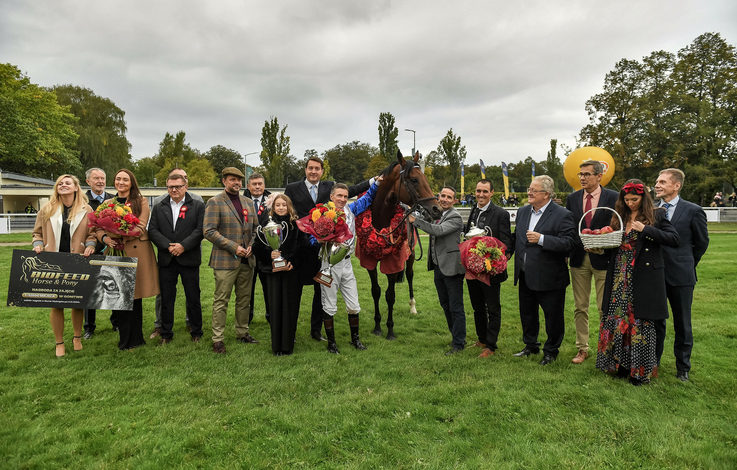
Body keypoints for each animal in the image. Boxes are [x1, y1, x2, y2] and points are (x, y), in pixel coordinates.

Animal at [354, 152, 440, 340]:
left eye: (425, 177)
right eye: (414, 179)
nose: (436, 209)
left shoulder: (393, 262)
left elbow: (390, 295)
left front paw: (390, 329)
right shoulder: (369, 262)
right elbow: (376, 291)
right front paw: (377, 326)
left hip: (411, 256)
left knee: (409, 275)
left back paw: (413, 307)